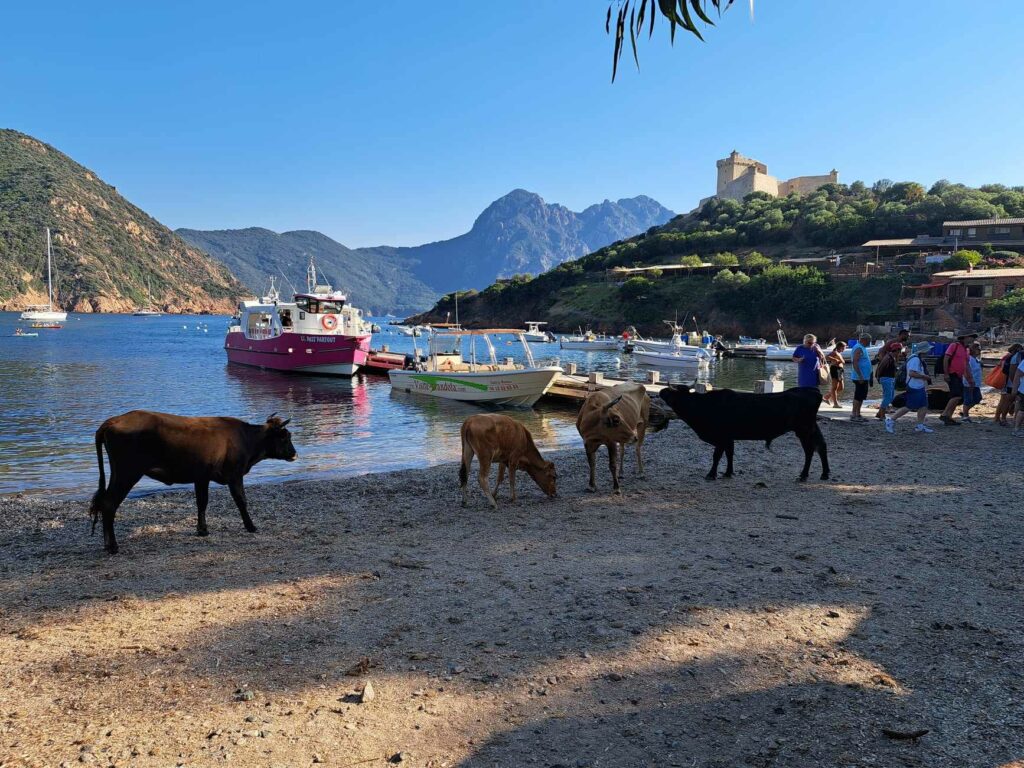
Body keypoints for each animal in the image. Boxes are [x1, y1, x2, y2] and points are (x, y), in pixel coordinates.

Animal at [89, 411, 297, 554]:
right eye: (285, 436)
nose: (295, 454)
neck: (245, 438)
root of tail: (113, 420)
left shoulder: (201, 477)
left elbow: (202, 502)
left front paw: (202, 530)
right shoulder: (235, 474)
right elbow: (241, 500)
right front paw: (251, 526)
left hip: (118, 473)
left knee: (104, 502)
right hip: (127, 473)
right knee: (109, 504)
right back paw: (112, 546)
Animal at [659, 385, 829, 482]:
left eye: (673, 393)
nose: (661, 391)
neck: (702, 405)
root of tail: (813, 390)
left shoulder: (721, 437)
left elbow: (717, 456)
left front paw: (711, 474)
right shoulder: (729, 438)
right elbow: (729, 454)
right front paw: (728, 473)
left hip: (803, 429)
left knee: (809, 450)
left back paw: (803, 475)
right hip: (811, 427)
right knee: (821, 446)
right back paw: (825, 473)